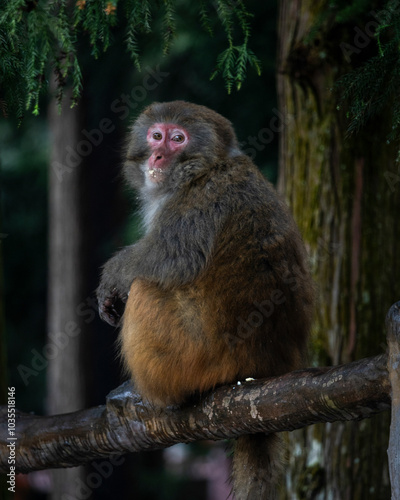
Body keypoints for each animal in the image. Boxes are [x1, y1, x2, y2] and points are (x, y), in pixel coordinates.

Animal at [96, 99, 312, 498]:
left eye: (178, 139)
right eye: (156, 135)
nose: (159, 155)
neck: (203, 168)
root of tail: (265, 365)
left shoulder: (199, 199)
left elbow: (171, 259)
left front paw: (113, 275)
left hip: (193, 357)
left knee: (147, 287)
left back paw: (151, 394)